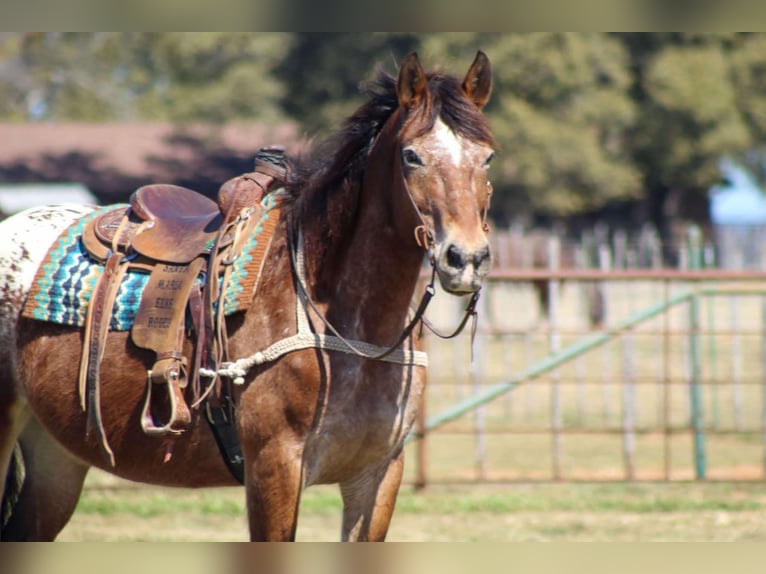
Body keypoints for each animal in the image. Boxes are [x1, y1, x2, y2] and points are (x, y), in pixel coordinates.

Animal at [0, 51, 496, 541]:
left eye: (488, 157)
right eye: (412, 155)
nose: (465, 258)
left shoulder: (378, 474)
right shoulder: (274, 467)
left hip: (57, 456)